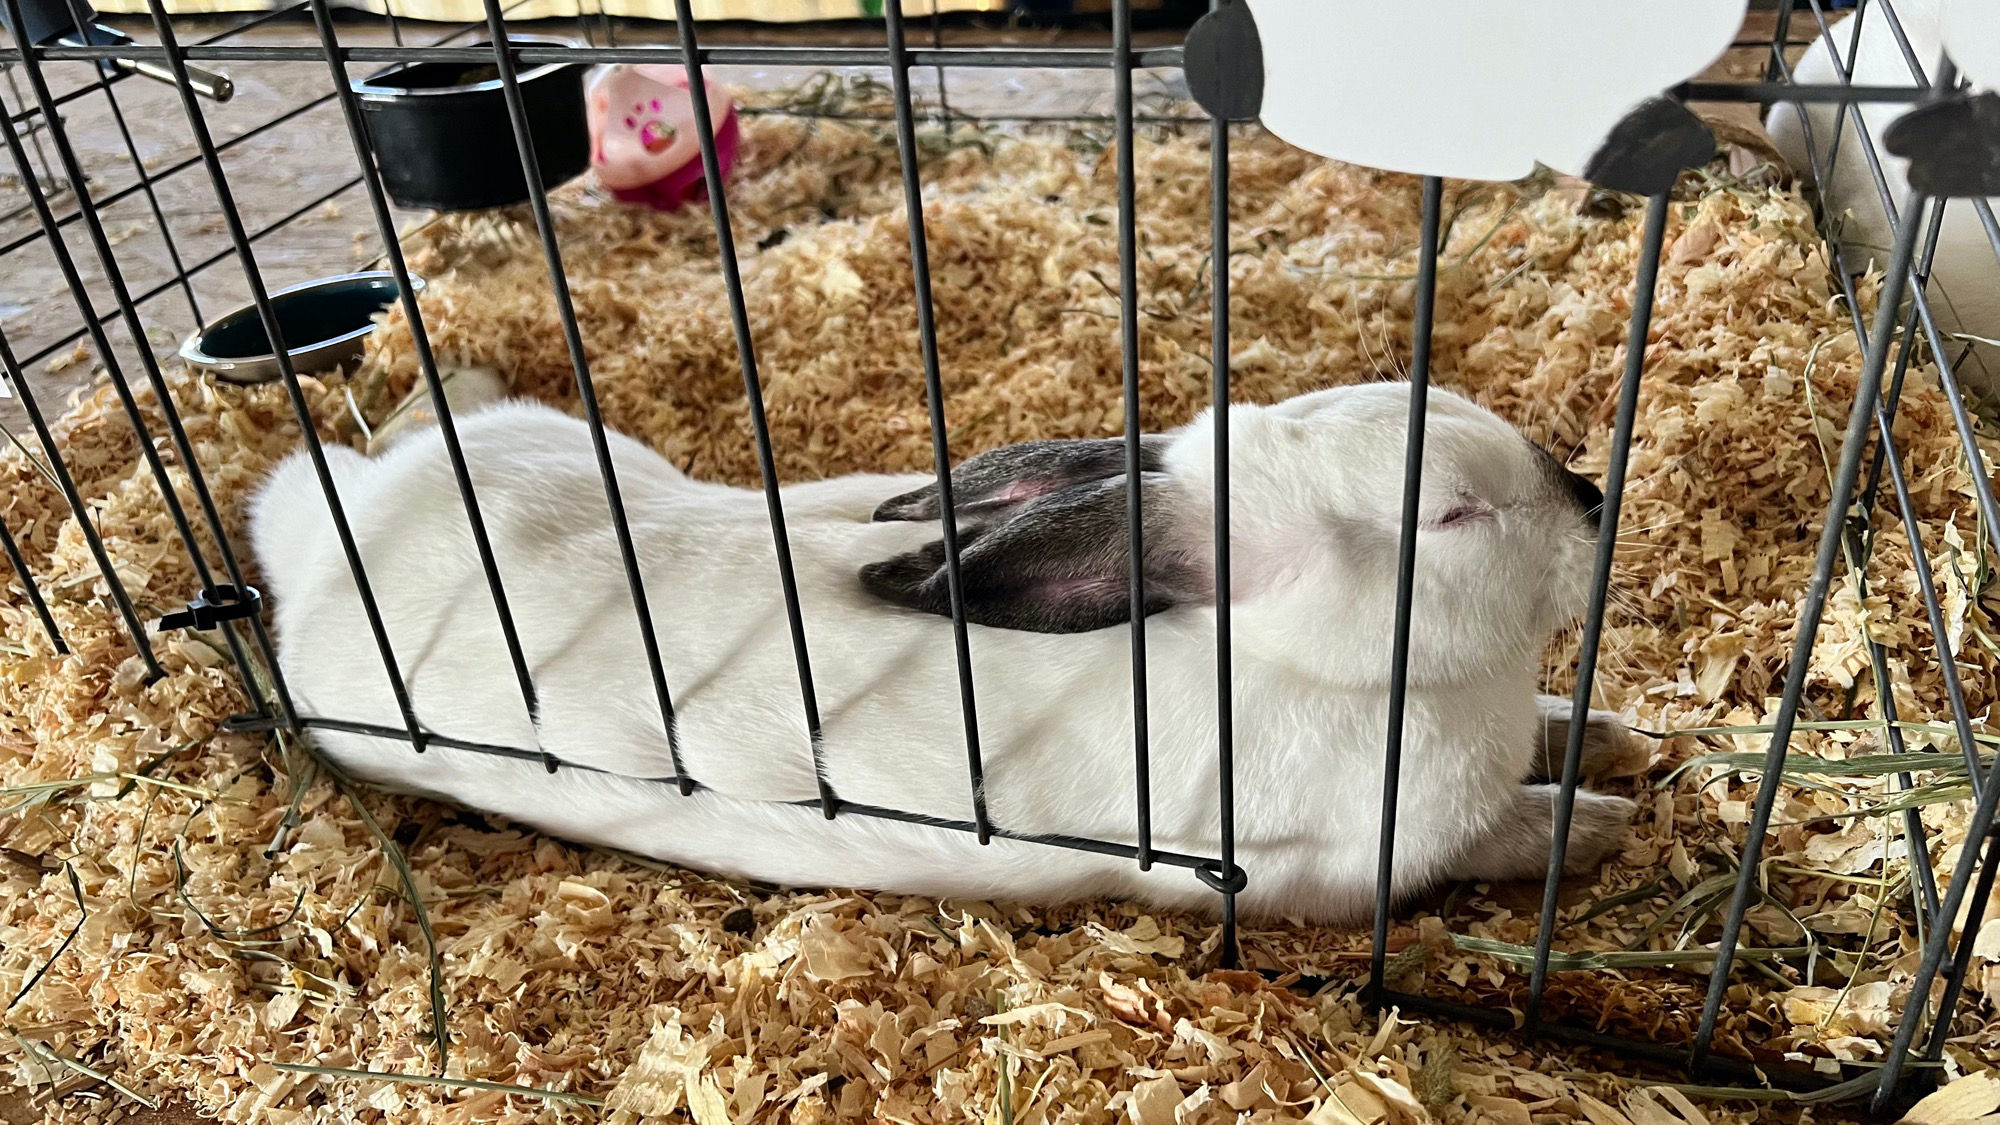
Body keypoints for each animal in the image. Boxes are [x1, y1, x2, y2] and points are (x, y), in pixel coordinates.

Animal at [250, 384, 1632, 920]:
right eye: (1450, 516)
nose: (1590, 501)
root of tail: (329, 533)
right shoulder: (1350, 867)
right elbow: (1518, 832)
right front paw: (1606, 819)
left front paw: (1616, 736)